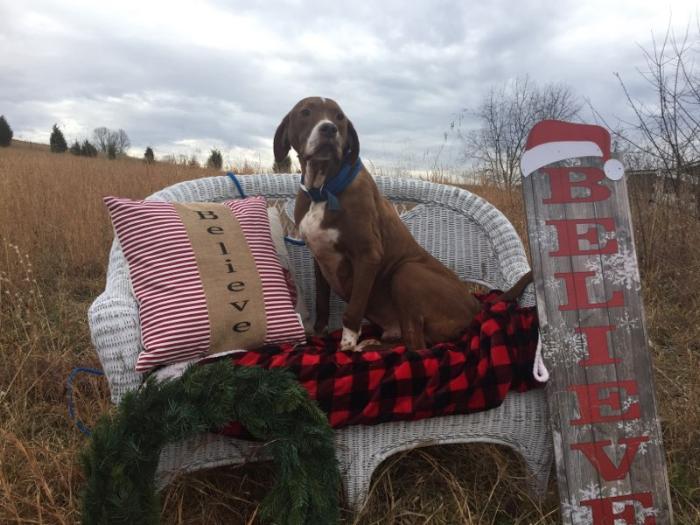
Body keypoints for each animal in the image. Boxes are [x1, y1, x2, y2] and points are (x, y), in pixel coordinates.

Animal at [274, 97, 532, 352]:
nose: (329, 129)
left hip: (407, 272)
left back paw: (364, 347)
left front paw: (347, 343)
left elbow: (353, 309)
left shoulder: (368, 255)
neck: (323, 189)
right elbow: (321, 303)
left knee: (415, 347)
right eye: (305, 112)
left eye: (339, 117)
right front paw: (319, 332)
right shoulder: (320, 259)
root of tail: (476, 307)